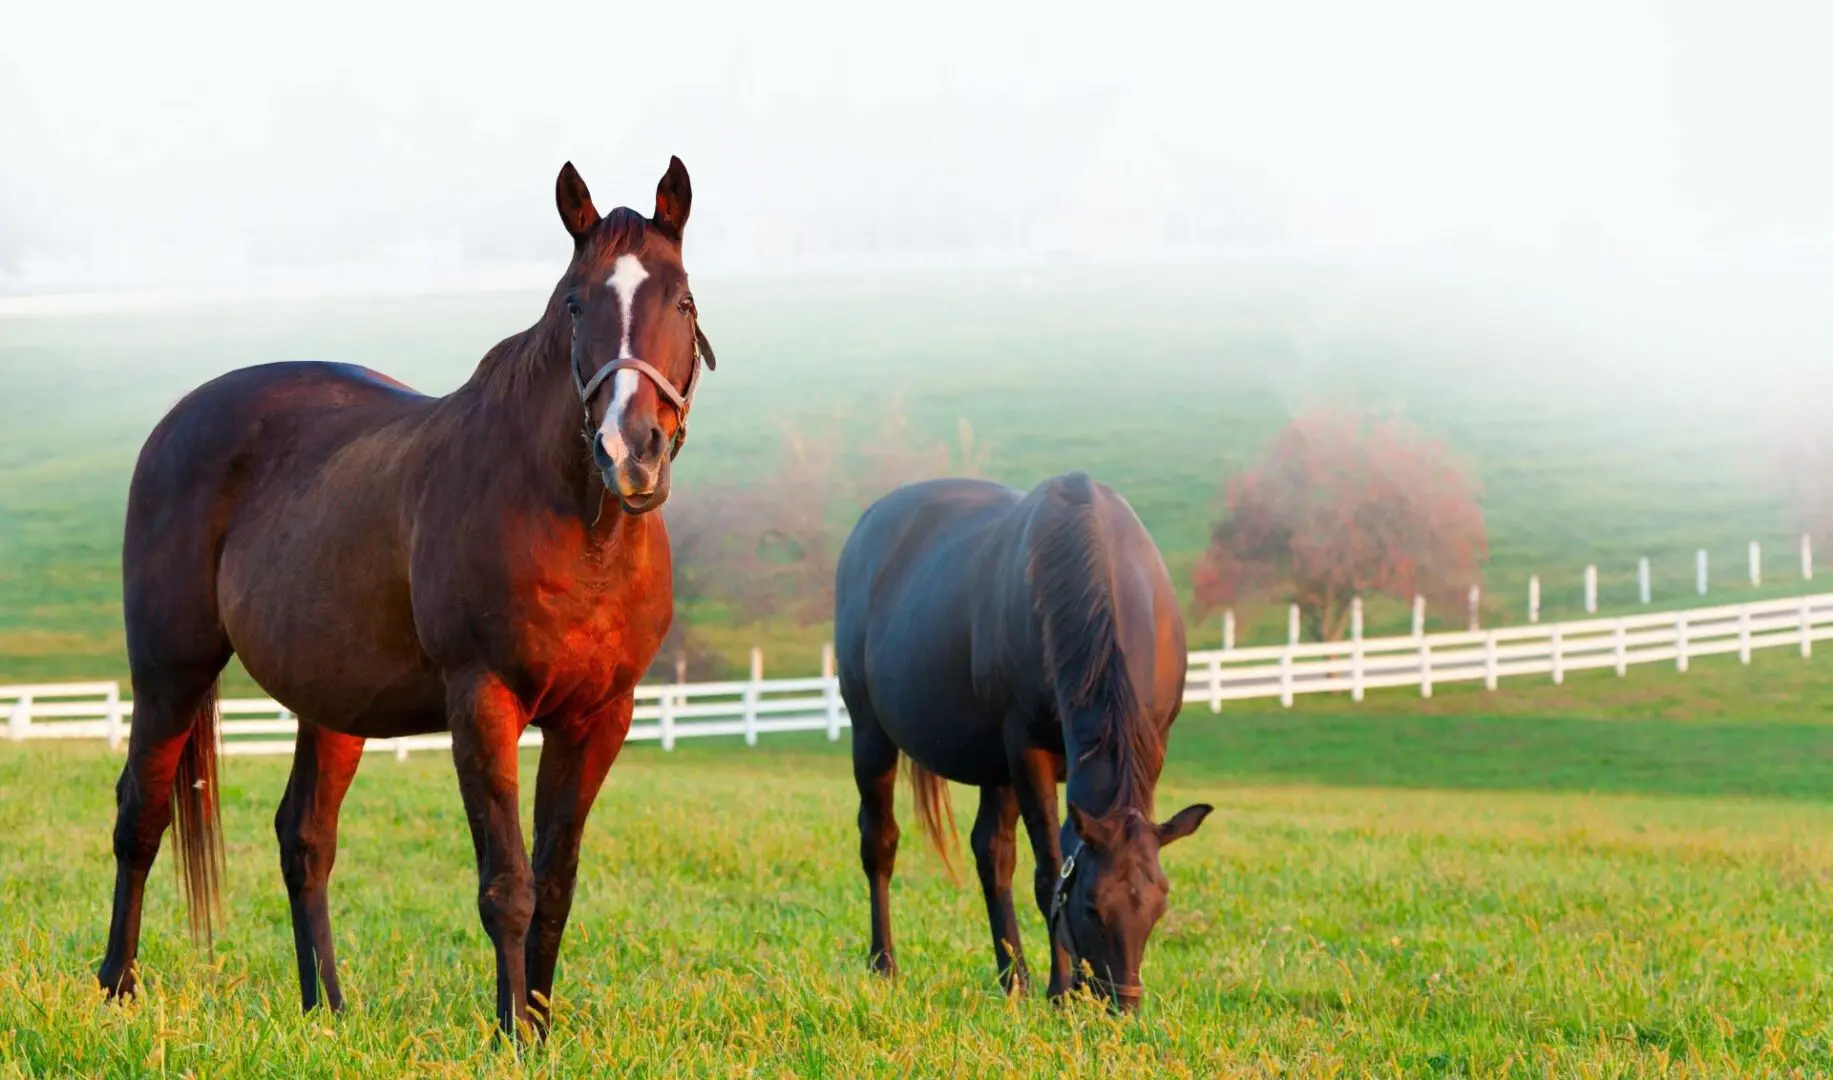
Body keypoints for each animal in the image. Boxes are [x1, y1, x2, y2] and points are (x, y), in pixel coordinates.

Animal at [98, 155, 714, 1034]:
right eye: (575, 302)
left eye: (683, 300)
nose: (631, 452)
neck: (578, 528)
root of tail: (179, 420)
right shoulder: (483, 702)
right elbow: (507, 884)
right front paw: (511, 1037)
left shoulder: (599, 718)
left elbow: (555, 884)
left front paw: (539, 1027)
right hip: (169, 672)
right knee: (140, 817)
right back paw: (117, 986)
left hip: (331, 701)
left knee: (305, 839)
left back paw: (325, 1008)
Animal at [835, 473, 1209, 1012]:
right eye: (1091, 906)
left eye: (1160, 902)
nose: (1121, 1007)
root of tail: (868, 526)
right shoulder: (1028, 752)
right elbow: (1050, 871)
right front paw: (1060, 990)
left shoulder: (1149, 746)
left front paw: (1054, 986)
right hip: (872, 736)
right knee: (880, 842)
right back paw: (884, 965)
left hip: (994, 767)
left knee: (992, 854)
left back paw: (1014, 979)